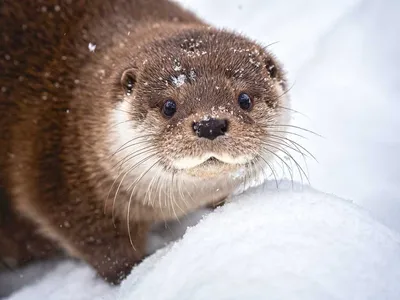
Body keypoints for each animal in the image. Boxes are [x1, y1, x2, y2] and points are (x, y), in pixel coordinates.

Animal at [0, 0, 290, 284]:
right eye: (169, 106)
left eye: (245, 99)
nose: (209, 124)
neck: (72, 111)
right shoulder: (57, 182)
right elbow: (103, 246)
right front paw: (134, 274)